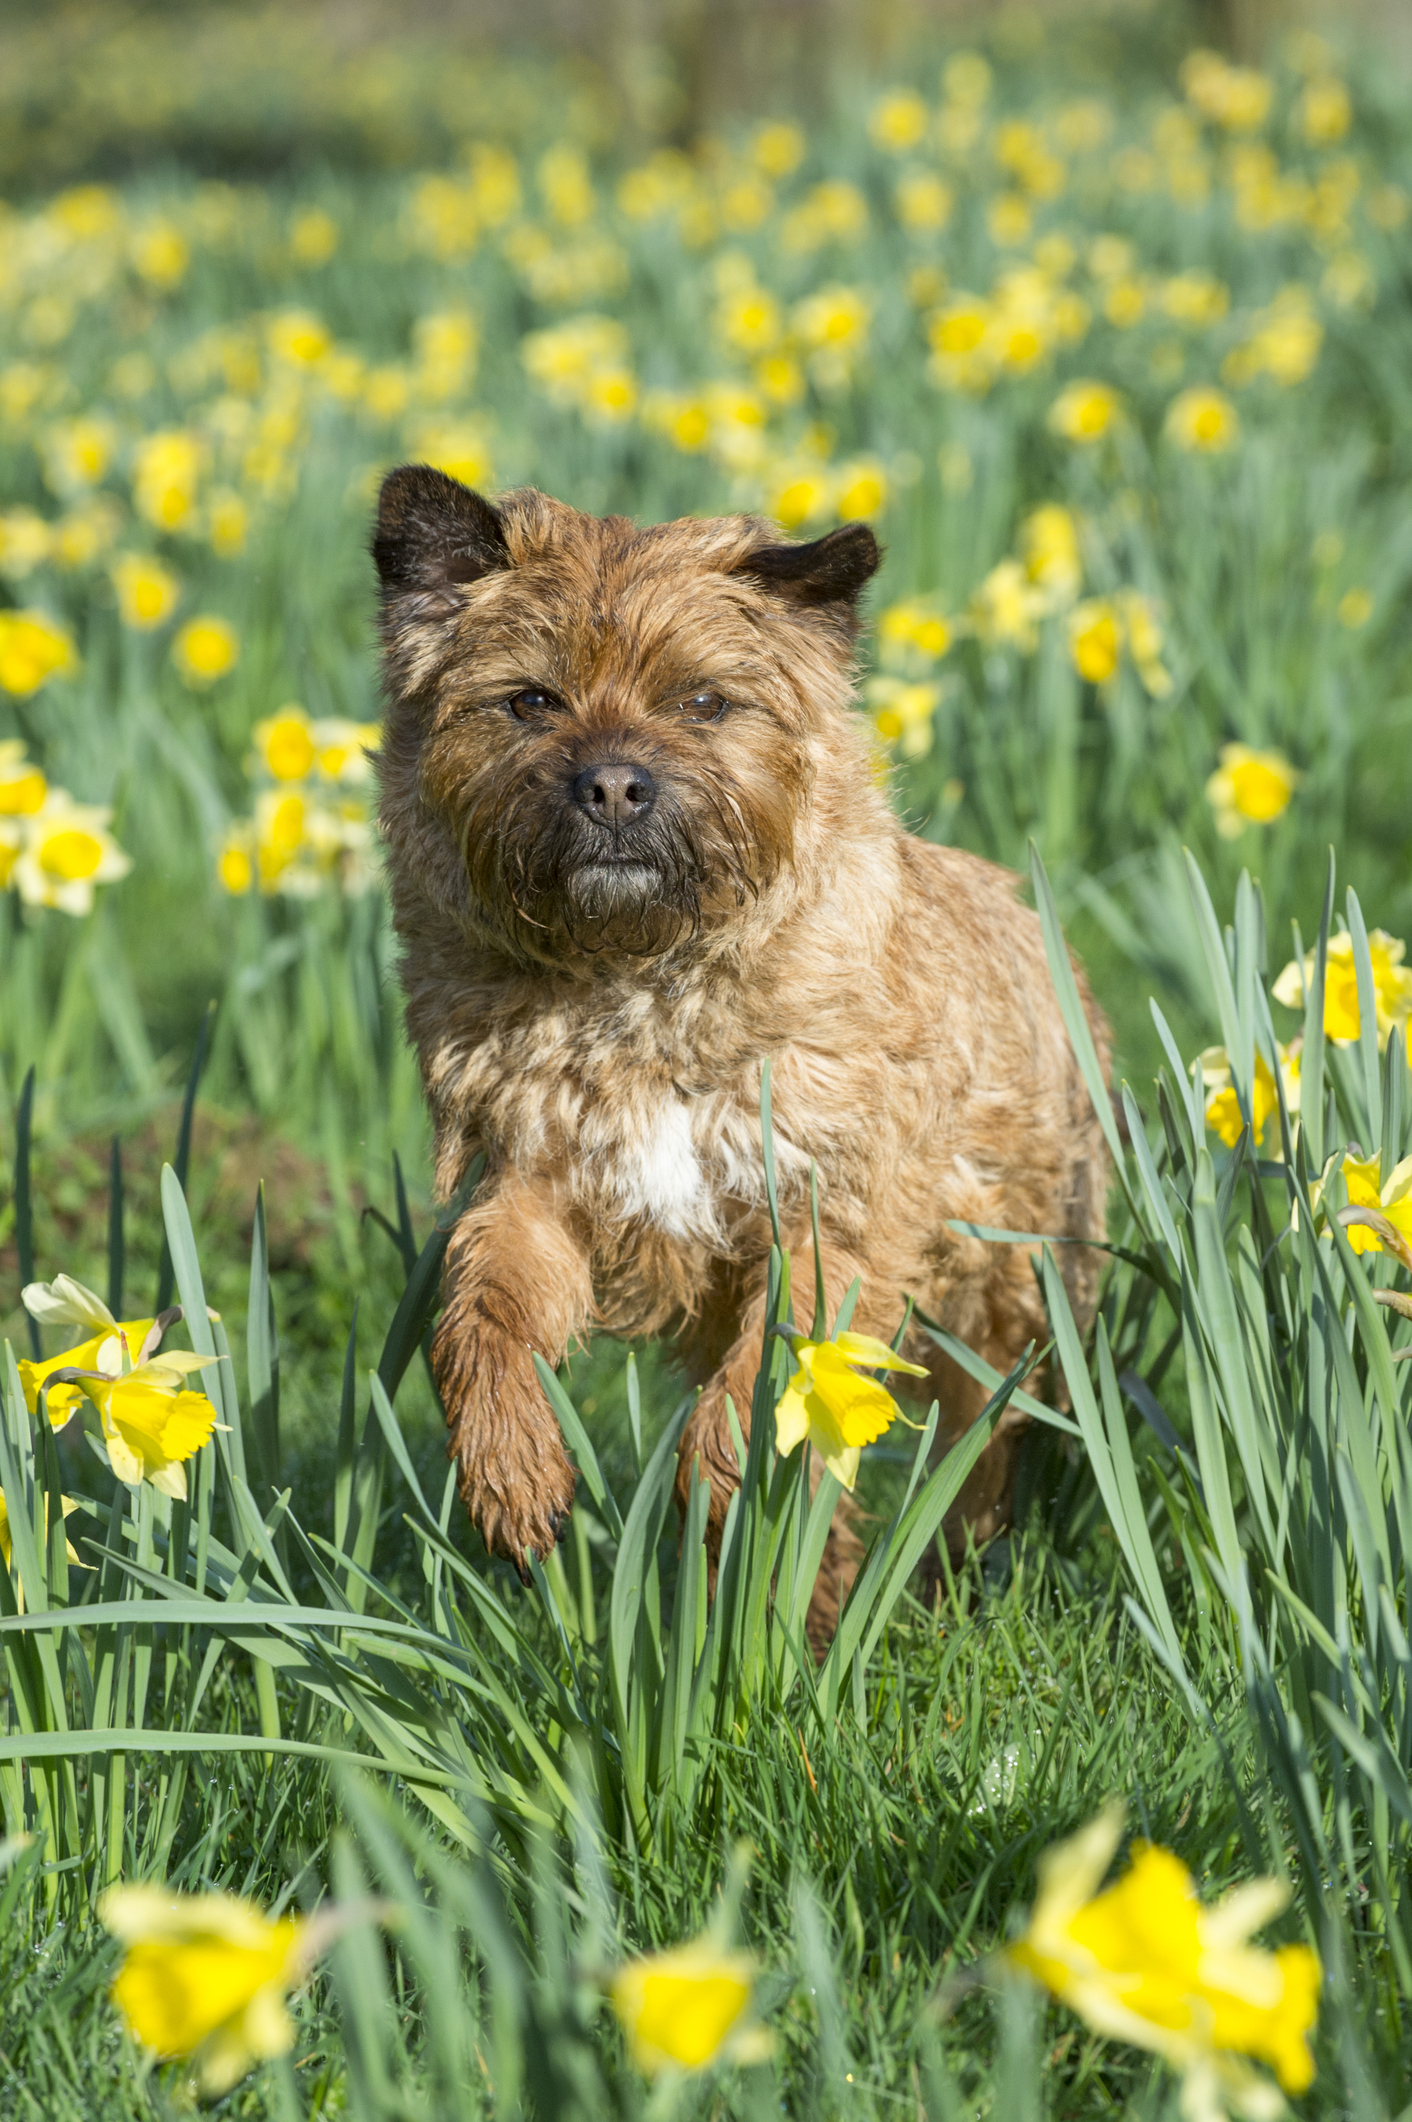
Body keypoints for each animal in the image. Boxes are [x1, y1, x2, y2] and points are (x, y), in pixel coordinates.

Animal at [373, 468, 1112, 1638]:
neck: (636, 988)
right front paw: (511, 1468)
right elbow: (477, 1312)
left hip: (1019, 1291)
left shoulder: (826, 1211)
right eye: (531, 699)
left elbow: (776, 1373)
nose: (613, 785)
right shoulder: (534, 1183)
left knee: (984, 1445)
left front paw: (723, 1484)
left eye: (703, 701)